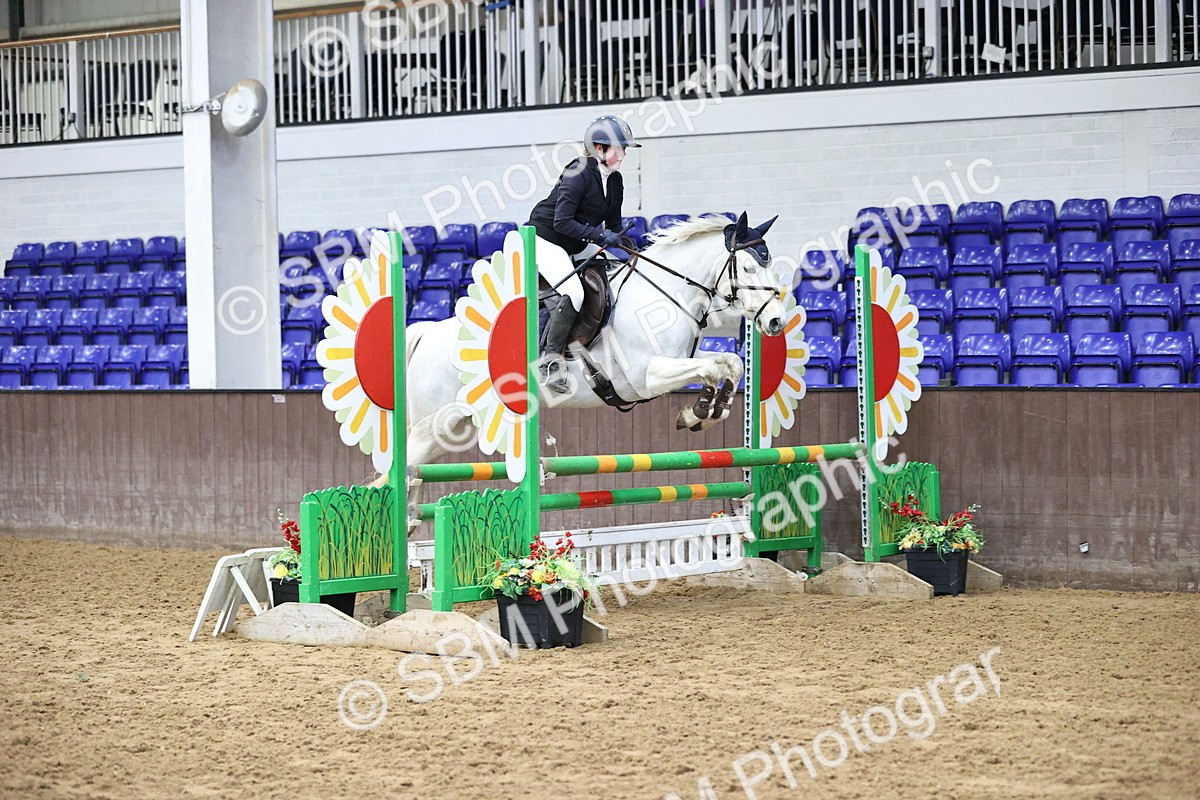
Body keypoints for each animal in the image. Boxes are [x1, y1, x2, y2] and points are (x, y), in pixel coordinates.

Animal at [402, 213, 788, 471]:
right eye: (750, 269)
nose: (775, 322)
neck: (663, 295)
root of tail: (427, 333)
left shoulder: (678, 361)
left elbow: (729, 364)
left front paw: (704, 412)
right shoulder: (646, 377)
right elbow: (709, 368)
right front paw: (699, 411)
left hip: (456, 427)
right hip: (433, 423)